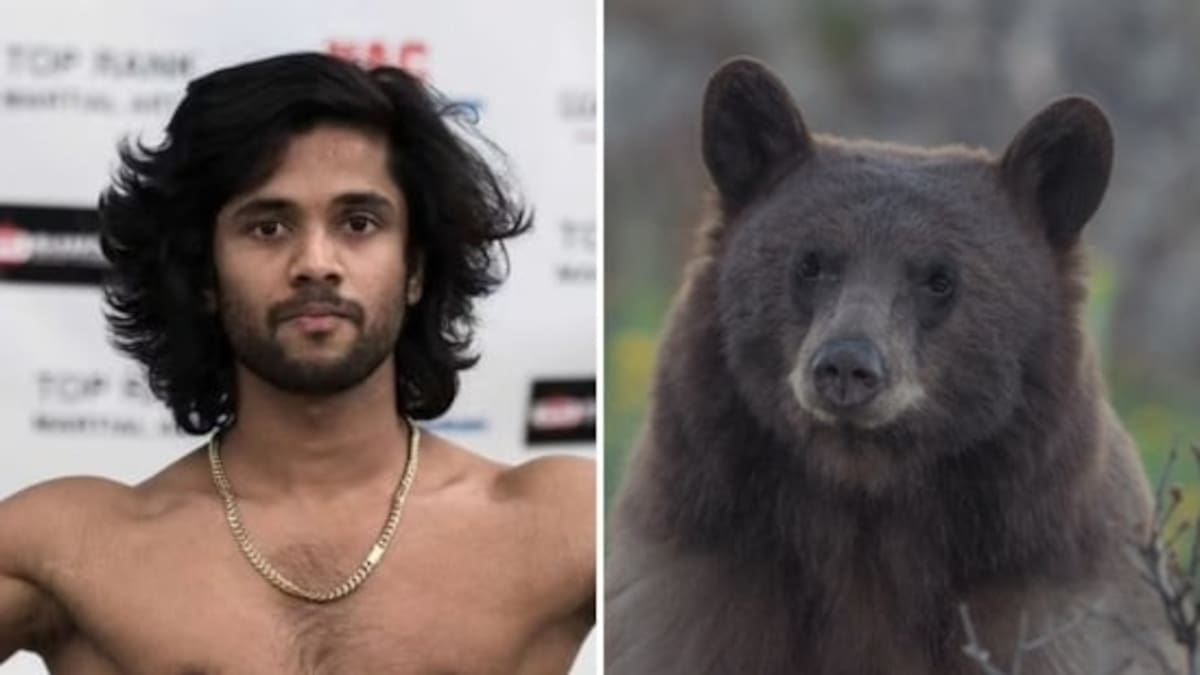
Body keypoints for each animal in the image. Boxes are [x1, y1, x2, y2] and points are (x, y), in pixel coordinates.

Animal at [605, 57, 1181, 675]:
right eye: (810, 263)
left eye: (940, 279)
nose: (846, 366)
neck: (868, 501)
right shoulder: (700, 581)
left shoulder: (1055, 599)